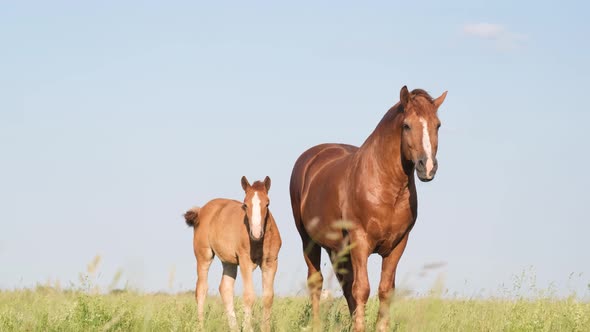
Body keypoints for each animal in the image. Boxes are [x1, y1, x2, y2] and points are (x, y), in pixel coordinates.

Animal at [187, 176, 284, 332]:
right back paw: (201, 327)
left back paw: (234, 328)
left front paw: (265, 328)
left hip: (229, 261)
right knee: (201, 289)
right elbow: (249, 296)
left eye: (267, 203)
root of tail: (201, 210)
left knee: (225, 289)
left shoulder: (271, 262)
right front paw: (248, 328)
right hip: (204, 256)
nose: (256, 233)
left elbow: (268, 297)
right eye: (245, 204)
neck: (259, 242)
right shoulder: (245, 261)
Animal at [290, 85, 448, 330]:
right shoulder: (360, 241)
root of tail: (311, 157)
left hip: (337, 249)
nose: (427, 166)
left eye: (437, 125)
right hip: (309, 241)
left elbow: (385, 290)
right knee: (317, 283)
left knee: (346, 286)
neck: (386, 189)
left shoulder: (397, 245)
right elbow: (362, 289)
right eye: (407, 125)